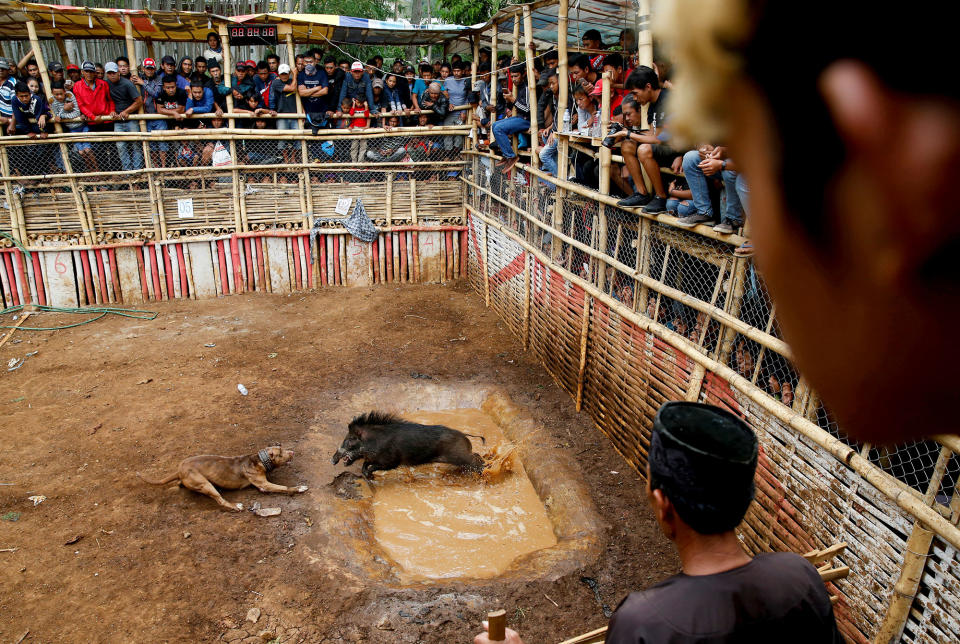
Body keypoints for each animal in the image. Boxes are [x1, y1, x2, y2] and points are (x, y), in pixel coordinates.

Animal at [135, 446, 306, 510]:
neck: (258, 460)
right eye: (280, 454)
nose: (292, 452)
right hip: (204, 484)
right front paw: (299, 488)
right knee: (220, 501)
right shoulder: (263, 484)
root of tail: (179, 470)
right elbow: (283, 487)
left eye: (282, 448)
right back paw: (236, 506)